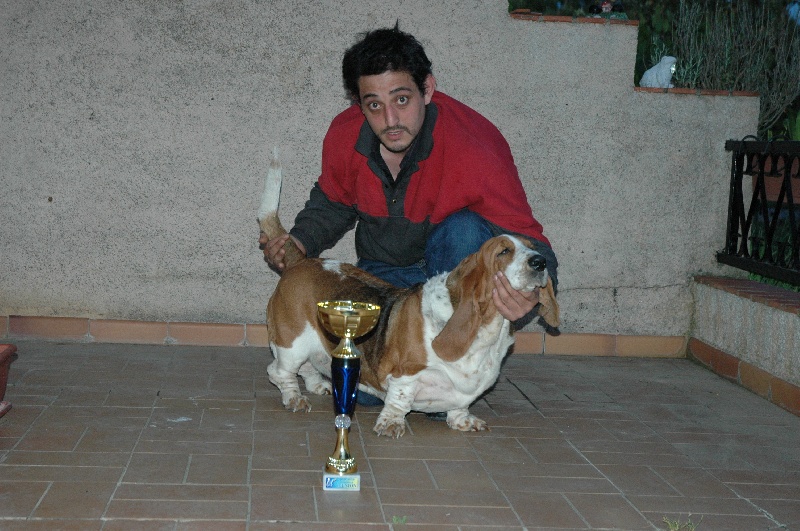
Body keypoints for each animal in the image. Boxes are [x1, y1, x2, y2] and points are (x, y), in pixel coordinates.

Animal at [258, 152, 559, 438]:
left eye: (532, 247)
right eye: (503, 251)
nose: (540, 262)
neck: (487, 328)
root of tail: (300, 261)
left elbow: (461, 405)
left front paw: (462, 420)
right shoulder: (405, 373)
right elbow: (399, 400)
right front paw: (391, 424)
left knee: (305, 367)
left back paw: (318, 385)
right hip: (292, 343)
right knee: (278, 372)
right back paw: (294, 398)